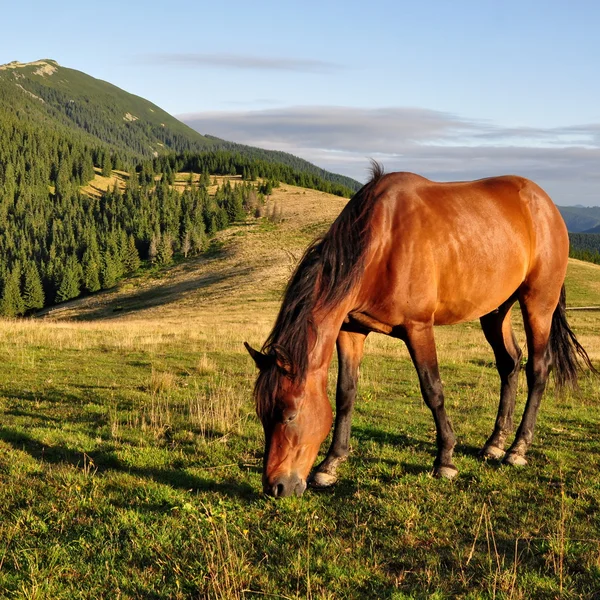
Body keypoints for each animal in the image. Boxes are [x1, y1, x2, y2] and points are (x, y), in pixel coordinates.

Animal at [244, 162, 596, 500]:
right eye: (262, 413)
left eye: (289, 415)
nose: (276, 487)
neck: (380, 243)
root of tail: (545, 204)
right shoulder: (351, 330)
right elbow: (345, 393)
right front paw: (330, 464)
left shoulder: (418, 329)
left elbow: (433, 390)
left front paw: (445, 460)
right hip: (496, 309)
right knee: (509, 363)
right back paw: (495, 442)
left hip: (538, 302)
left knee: (538, 369)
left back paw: (517, 448)